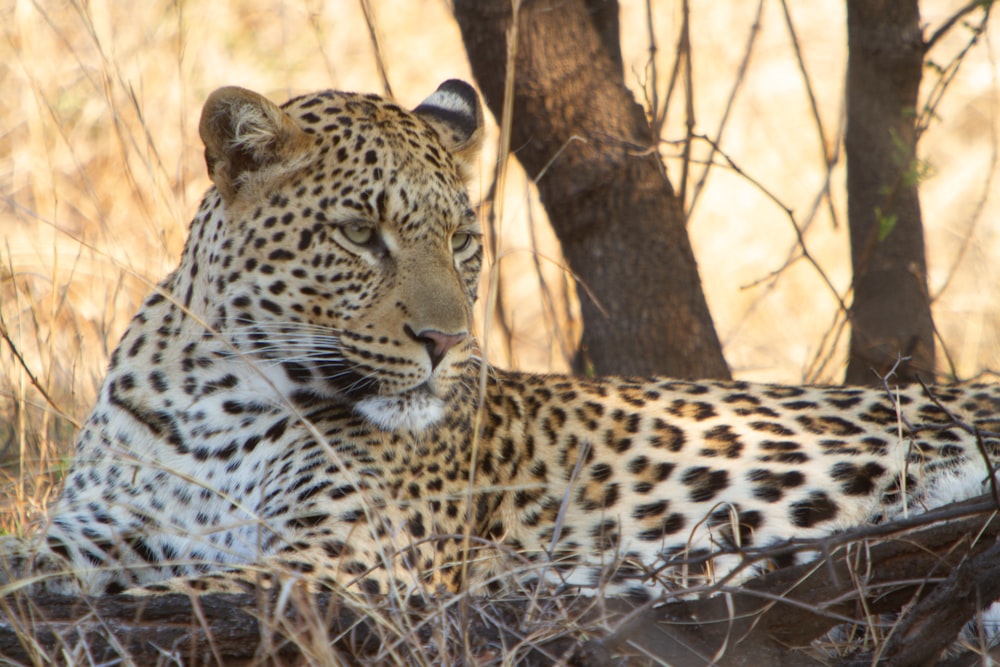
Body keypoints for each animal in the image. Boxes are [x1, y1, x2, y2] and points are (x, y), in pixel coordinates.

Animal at [5, 78, 1000, 616]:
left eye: (462, 241)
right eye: (360, 235)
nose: (446, 341)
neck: (216, 388)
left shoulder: (342, 562)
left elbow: (144, 594)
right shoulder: (95, 530)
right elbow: (37, 565)